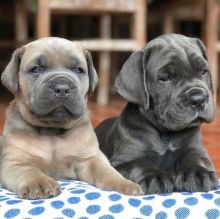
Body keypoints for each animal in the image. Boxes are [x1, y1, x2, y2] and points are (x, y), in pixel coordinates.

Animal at [96, 33, 218, 194]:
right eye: (165, 78)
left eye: (203, 71)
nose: (198, 99)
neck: (165, 133)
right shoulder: (121, 161)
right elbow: (138, 164)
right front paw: (155, 177)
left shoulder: (197, 150)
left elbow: (196, 159)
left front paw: (198, 173)